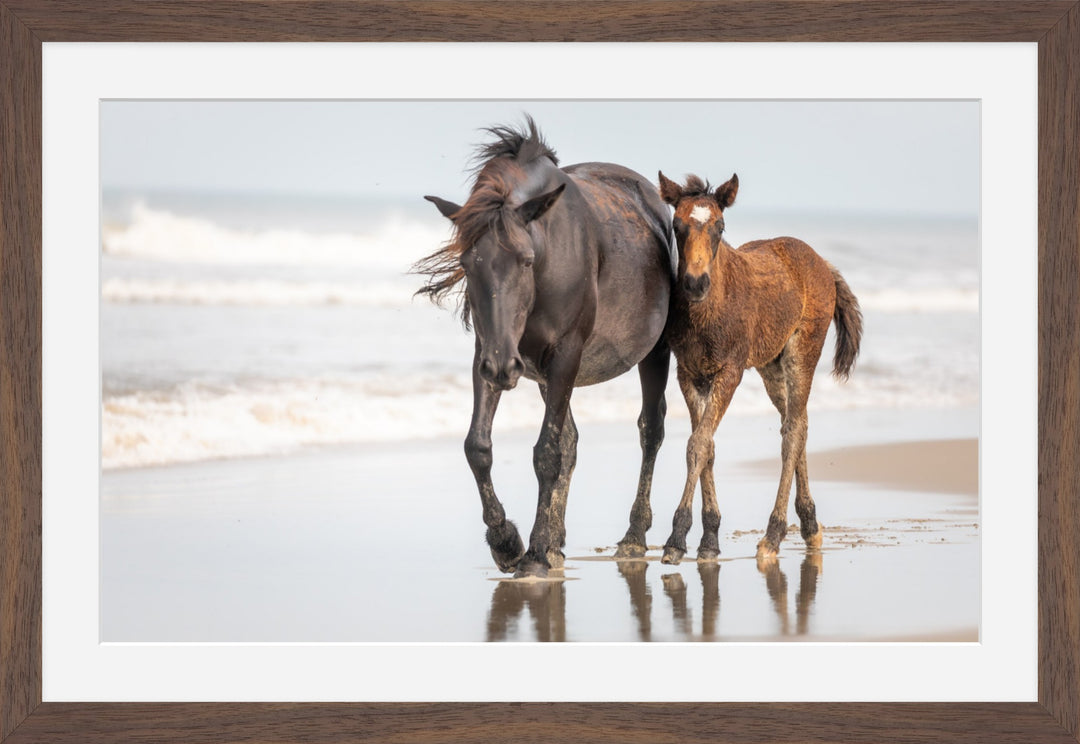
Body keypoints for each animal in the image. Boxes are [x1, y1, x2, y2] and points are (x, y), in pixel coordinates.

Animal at [414, 118, 676, 578]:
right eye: (466, 264)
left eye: (526, 260)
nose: (503, 369)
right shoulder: (489, 352)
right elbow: (479, 447)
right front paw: (506, 542)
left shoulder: (565, 355)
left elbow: (548, 454)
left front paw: (533, 553)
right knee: (573, 440)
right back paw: (557, 542)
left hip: (654, 352)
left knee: (651, 429)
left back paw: (632, 536)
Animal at [655, 171, 863, 563]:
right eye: (677, 226)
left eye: (720, 227)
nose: (695, 282)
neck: (708, 310)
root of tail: (823, 263)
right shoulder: (689, 374)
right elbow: (706, 446)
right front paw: (709, 539)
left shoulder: (730, 372)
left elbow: (698, 445)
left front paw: (676, 539)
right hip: (770, 365)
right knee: (798, 424)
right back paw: (809, 525)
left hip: (803, 350)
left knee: (793, 431)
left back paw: (773, 535)